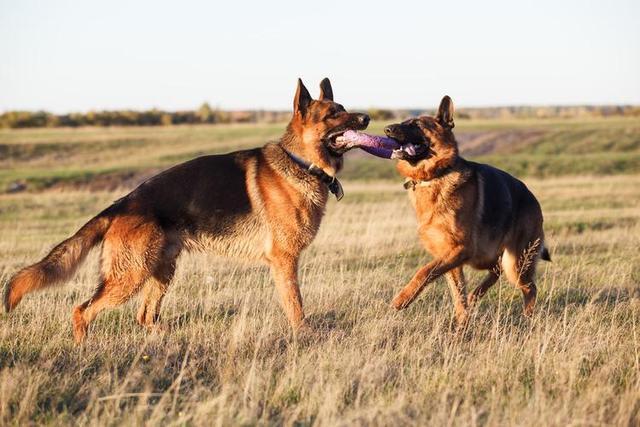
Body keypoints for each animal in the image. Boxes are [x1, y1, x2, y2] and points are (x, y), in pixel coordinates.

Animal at [3, 78, 370, 342]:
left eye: (344, 108)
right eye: (333, 114)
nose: (367, 117)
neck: (301, 162)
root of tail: (121, 204)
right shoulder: (284, 261)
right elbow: (295, 304)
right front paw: (304, 334)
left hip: (161, 270)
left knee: (144, 316)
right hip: (130, 276)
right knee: (82, 310)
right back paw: (84, 349)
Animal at [384, 96, 552, 328]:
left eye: (416, 124)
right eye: (404, 121)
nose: (386, 129)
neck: (437, 175)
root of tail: (533, 199)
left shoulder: (460, 249)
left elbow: (424, 271)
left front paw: (402, 299)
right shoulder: (449, 258)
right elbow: (458, 294)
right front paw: (462, 322)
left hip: (515, 265)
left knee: (529, 287)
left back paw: (527, 318)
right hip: (488, 257)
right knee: (495, 271)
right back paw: (476, 296)